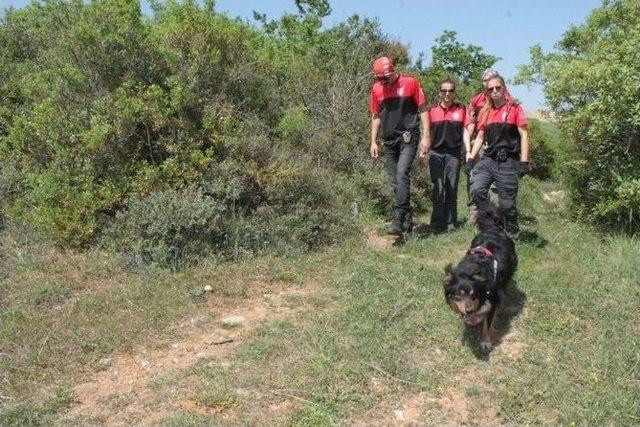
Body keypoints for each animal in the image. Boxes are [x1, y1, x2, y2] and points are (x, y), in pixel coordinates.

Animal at [444, 206, 520, 352]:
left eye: (473, 295)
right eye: (458, 295)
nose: (468, 311)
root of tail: (494, 229)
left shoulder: (493, 299)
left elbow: (488, 323)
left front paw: (485, 342)